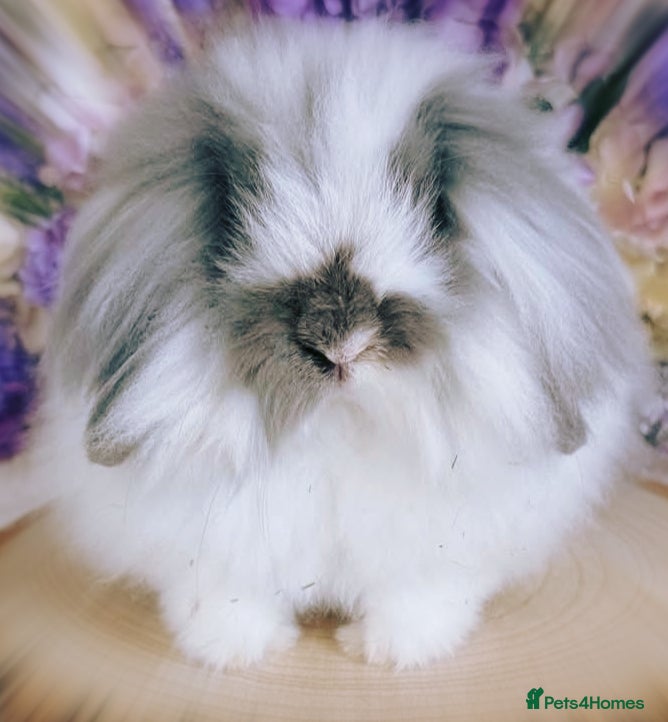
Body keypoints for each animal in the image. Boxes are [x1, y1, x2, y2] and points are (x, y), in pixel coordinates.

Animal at [0, 15, 654, 669]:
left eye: (435, 214)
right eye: (235, 212)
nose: (342, 345)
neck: (341, 423)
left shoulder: (431, 552)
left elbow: (418, 594)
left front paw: (394, 652)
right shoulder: (220, 553)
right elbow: (227, 596)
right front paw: (233, 651)